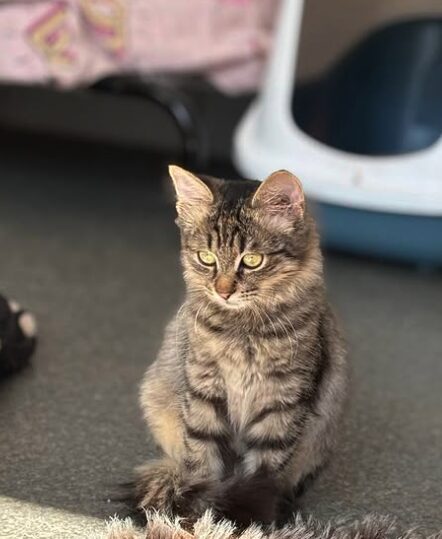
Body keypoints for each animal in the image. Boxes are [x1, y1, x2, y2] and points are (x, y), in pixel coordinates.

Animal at [133, 167, 348, 524]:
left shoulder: (283, 400)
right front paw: (201, 511)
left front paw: (249, 517)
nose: (223, 291)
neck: (243, 329)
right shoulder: (205, 389)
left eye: (252, 260)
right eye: (206, 258)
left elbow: (263, 470)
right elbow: (202, 458)